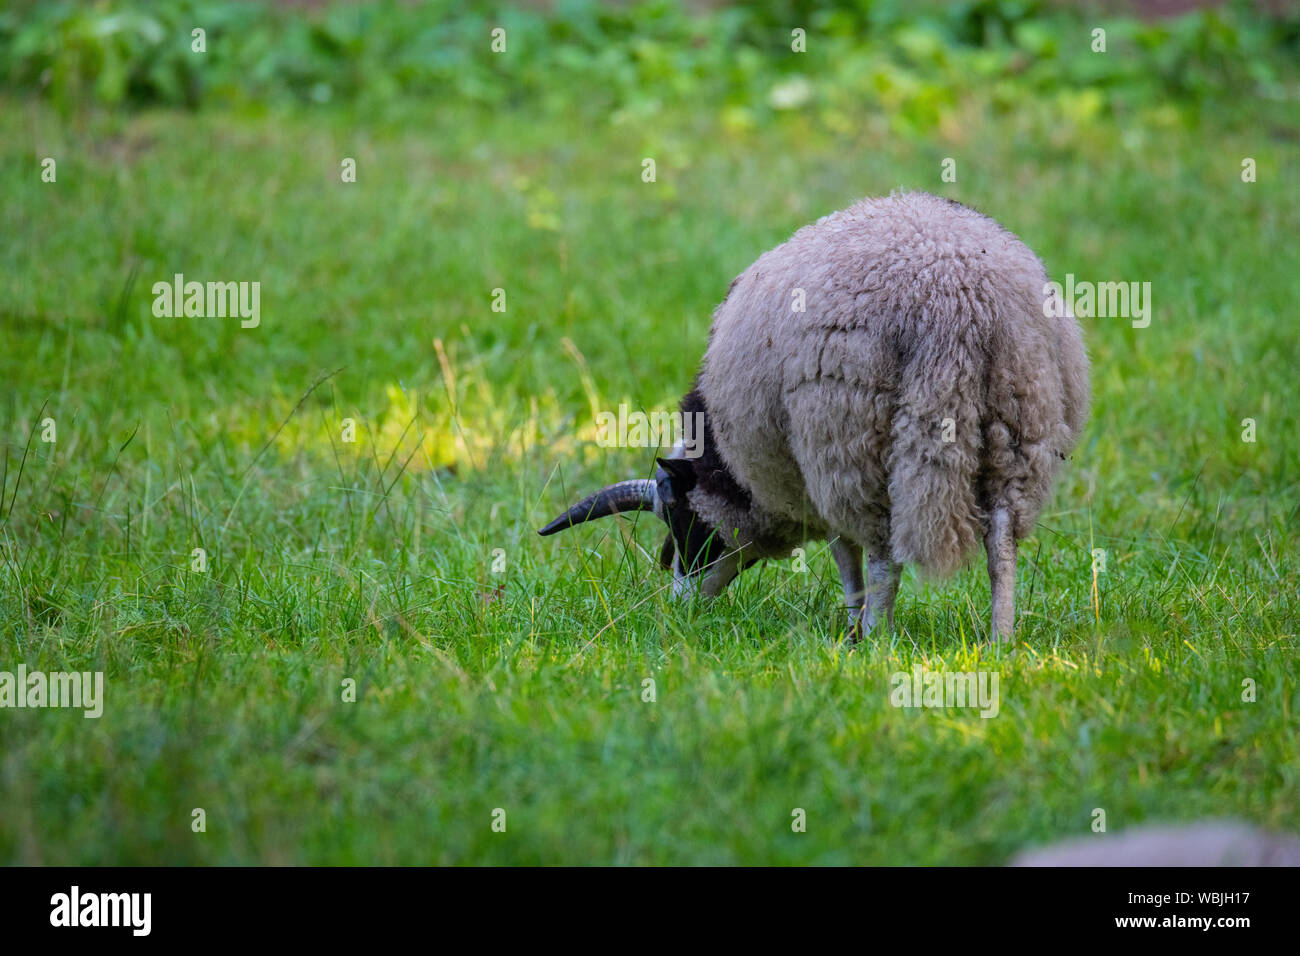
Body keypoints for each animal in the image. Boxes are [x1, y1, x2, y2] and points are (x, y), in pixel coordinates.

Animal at [540, 190, 1089, 642]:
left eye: (681, 520)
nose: (679, 609)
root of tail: (957, 294)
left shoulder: (812, 476)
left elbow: (845, 554)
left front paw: (854, 625)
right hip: (1019, 426)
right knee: (1002, 542)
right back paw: (1001, 640)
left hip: (853, 435)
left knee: (885, 552)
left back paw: (877, 638)